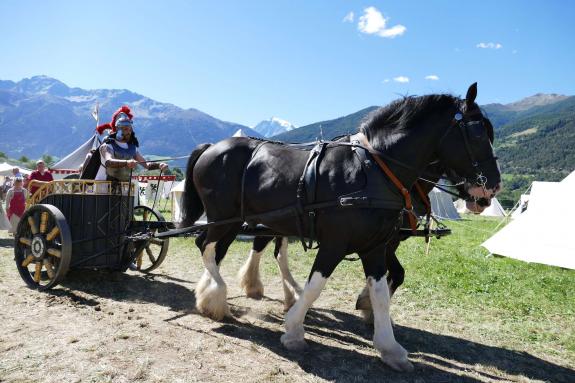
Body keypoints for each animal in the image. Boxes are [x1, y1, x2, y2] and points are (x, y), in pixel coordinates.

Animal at [182, 84, 502, 372]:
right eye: (477, 133)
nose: (491, 188)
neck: (373, 170)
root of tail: (212, 147)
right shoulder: (335, 243)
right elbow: (315, 287)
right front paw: (294, 330)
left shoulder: (375, 247)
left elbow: (382, 293)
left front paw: (389, 347)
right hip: (225, 218)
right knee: (206, 247)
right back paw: (218, 298)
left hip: (240, 221)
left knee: (219, 250)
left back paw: (213, 296)